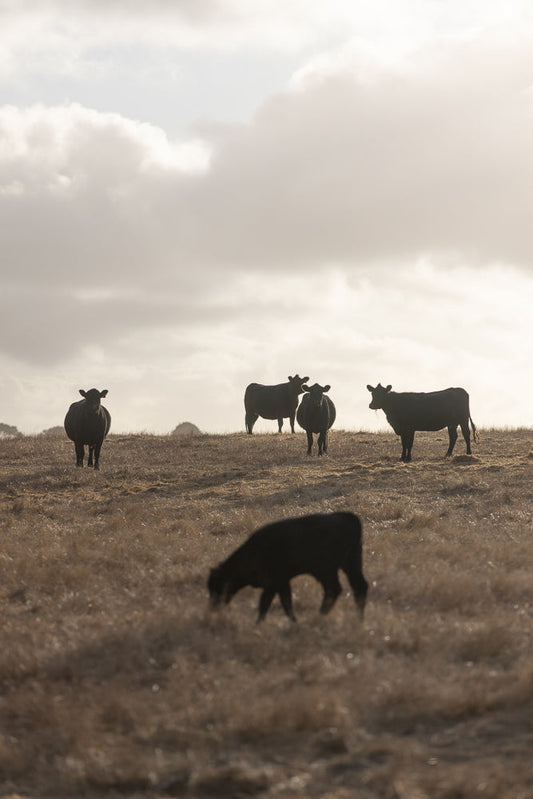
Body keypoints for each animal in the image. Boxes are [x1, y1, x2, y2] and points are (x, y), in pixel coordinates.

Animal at [208, 511, 368, 623]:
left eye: (218, 586)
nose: (213, 607)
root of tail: (348, 517)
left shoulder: (275, 582)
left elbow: (270, 603)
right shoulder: (279, 584)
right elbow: (280, 603)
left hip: (327, 571)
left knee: (334, 590)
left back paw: (320, 615)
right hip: (350, 565)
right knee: (359, 587)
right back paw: (358, 619)